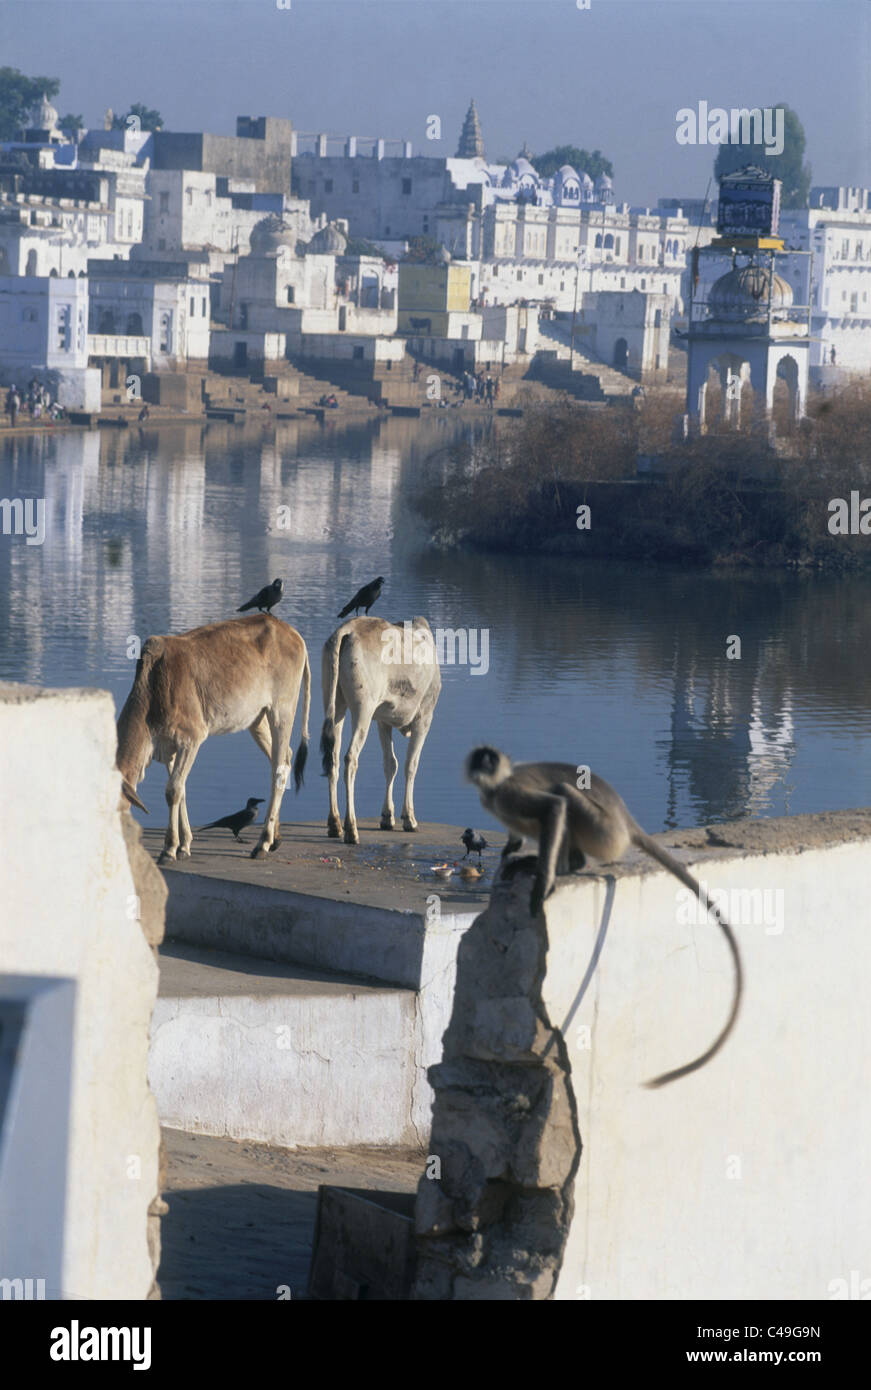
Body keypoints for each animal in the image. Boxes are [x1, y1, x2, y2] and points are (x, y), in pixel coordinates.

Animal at [116, 617, 309, 856]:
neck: (153, 689)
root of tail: (291, 632)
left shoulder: (191, 739)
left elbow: (173, 791)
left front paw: (169, 848)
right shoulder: (169, 749)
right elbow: (181, 790)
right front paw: (184, 844)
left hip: (282, 711)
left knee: (279, 770)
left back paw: (263, 842)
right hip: (258, 719)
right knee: (284, 759)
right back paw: (276, 837)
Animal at [463, 745, 744, 1089]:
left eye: (490, 760)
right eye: (481, 759)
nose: (485, 766)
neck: (497, 784)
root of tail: (625, 820)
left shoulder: (507, 793)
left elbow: (554, 807)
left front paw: (543, 881)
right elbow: (516, 837)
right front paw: (509, 857)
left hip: (601, 830)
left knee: (562, 796)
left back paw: (562, 868)